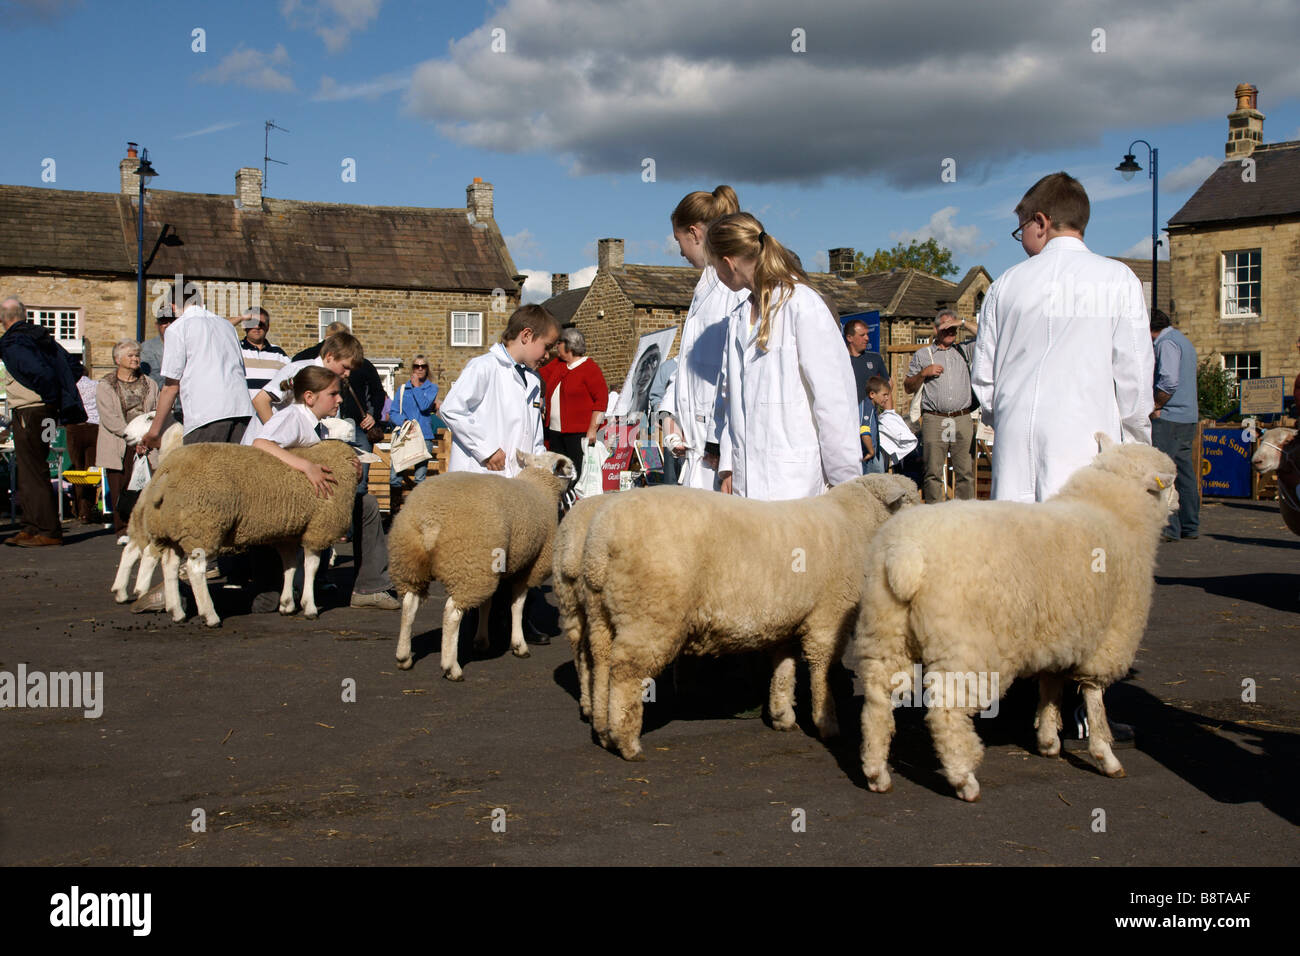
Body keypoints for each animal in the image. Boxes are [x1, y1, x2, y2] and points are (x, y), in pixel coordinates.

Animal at [107, 442, 358, 629]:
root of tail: (167, 472)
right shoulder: (318, 528)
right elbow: (311, 567)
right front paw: (310, 607)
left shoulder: (288, 535)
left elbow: (290, 567)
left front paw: (287, 604)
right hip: (202, 526)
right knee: (193, 569)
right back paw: (209, 616)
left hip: (171, 529)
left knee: (168, 564)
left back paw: (176, 611)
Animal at [387, 450, 577, 681]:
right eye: (568, 467)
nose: (575, 479)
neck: (539, 486)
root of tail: (430, 521)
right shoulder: (529, 566)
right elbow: (517, 605)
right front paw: (519, 645)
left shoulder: (497, 568)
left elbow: (487, 604)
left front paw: (482, 640)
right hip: (469, 562)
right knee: (451, 613)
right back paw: (451, 667)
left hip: (412, 560)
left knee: (409, 604)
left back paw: (404, 656)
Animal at [579, 473, 925, 764]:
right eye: (910, 502)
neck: (859, 524)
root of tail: (601, 539)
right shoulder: (828, 616)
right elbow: (820, 669)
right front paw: (827, 722)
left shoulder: (788, 622)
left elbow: (784, 669)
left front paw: (783, 715)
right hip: (649, 614)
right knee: (625, 672)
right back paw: (626, 743)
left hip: (602, 614)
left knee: (601, 663)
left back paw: (602, 731)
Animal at [852, 437, 1180, 806]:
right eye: (1171, 482)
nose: (1179, 501)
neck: (1116, 514)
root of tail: (905, 554)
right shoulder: (1109, 639)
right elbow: (1094, 699)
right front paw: (1105, 756)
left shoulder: (1059, 635)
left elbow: (1051, 686)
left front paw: (1049, 740)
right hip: (966, 648)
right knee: (946, 712)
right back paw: (964, 779)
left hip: (884, 630)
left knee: (877, 702)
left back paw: (876, 773)